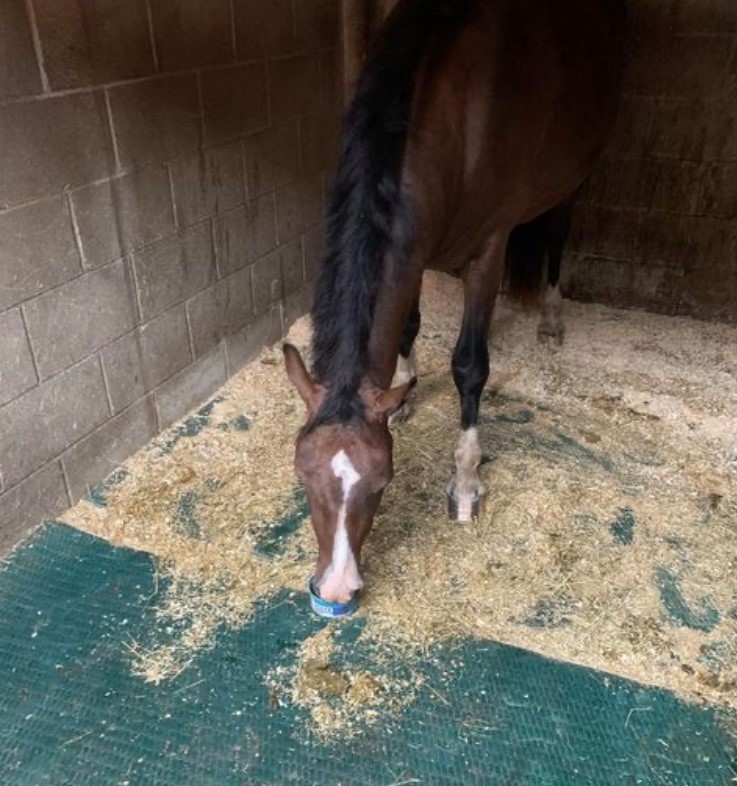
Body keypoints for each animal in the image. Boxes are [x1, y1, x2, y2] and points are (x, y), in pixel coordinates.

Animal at [283, 0, 625, 604]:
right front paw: (404, 394)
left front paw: (465, 484)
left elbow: (470, 367)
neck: (460, 126)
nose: (338, 588)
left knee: (558, 233)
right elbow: (407, 325)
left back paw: (552, 319)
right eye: (304, 474)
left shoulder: (486, 257)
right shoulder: (414, 247)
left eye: (383, 480)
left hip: (573, 179)